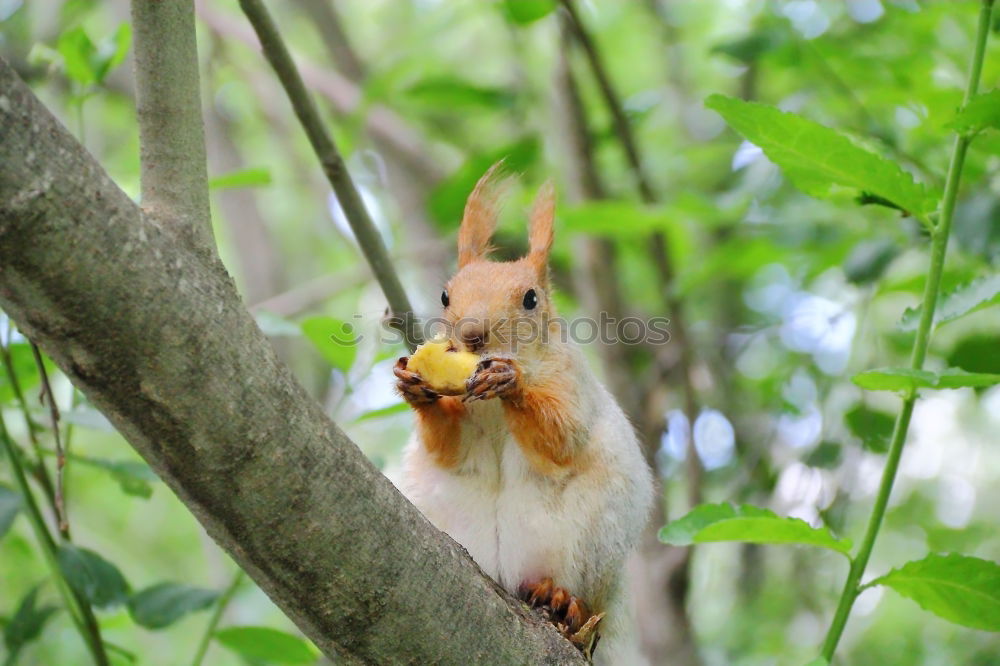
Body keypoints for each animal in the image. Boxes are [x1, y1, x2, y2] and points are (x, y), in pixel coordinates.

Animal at [394, 165, 652, 660]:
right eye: (444, 296)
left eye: (531, 298)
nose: (472, 334)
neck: (492, 411)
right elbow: (448, 450)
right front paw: (415, 388)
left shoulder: (572, 384)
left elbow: (561, 440)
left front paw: (510, 381)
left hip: (589, 546)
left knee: (578, 597)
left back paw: (562, 598)